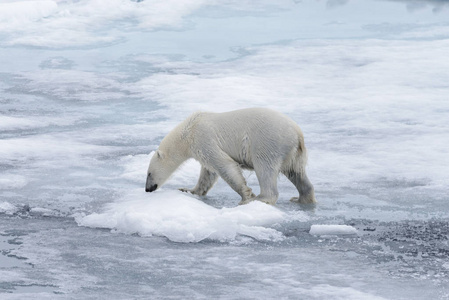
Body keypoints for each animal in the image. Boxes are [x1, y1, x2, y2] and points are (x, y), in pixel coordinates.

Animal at [145, 106, 314, 205]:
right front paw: (187, 190)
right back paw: (301, 198)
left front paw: (246, 195)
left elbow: (224, 165)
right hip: (293, 153)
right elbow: (208, 174)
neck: (188, 130)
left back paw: (260, 198)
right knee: (296, 173)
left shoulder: (204, 138)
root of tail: (297, 133)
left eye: (149, 173)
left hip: (268, 142)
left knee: (265, 168)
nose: (147, 189)